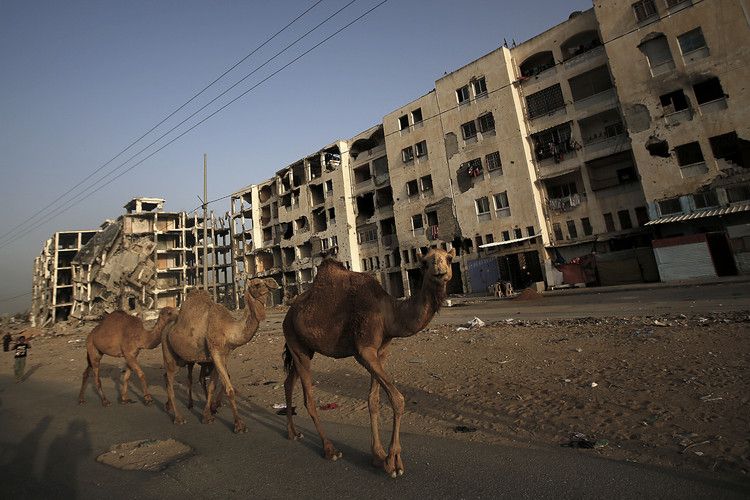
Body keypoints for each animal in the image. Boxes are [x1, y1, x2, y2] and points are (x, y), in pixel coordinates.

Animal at [163, 278, 280, 434]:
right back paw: (178, 418)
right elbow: (229, 388)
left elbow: (213, 386)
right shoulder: (216, 352)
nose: (274, 283)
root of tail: (166, 328)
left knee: (168, 376)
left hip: (182, 358)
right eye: (257, 284)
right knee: (170, 381)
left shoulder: (222, 355)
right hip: (168, 350)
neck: (229, 330)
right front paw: (239, 425)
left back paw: (169, 406)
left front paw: (208, 415)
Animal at [282, 246, 458, 476]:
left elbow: (373, 401)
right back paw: (330, 450)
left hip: (304, 348)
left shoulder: (380, 352)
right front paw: (394, 461)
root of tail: (287, 314)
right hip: (296, 343)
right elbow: (397, 399)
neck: (389, 314)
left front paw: (378, 455)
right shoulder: (364, 350)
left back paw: (293, 433)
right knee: (308, 398)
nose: (440, 272)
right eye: (425, 262)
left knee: (288, 382)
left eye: (449, 258)